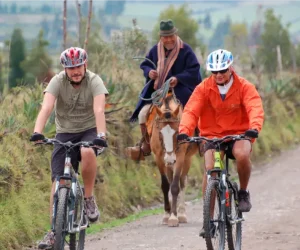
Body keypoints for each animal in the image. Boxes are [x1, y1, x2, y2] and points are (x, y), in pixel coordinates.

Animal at [146, 93, 198, 227]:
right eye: (160, 133)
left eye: (178, 133)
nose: (170, 158)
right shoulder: (159, 157)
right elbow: (165, 185)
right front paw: (166, 215)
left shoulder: (179, 157)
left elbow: (175, 186)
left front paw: (174, 217)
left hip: (187, 159)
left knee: (182, 182)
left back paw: (181, 214)